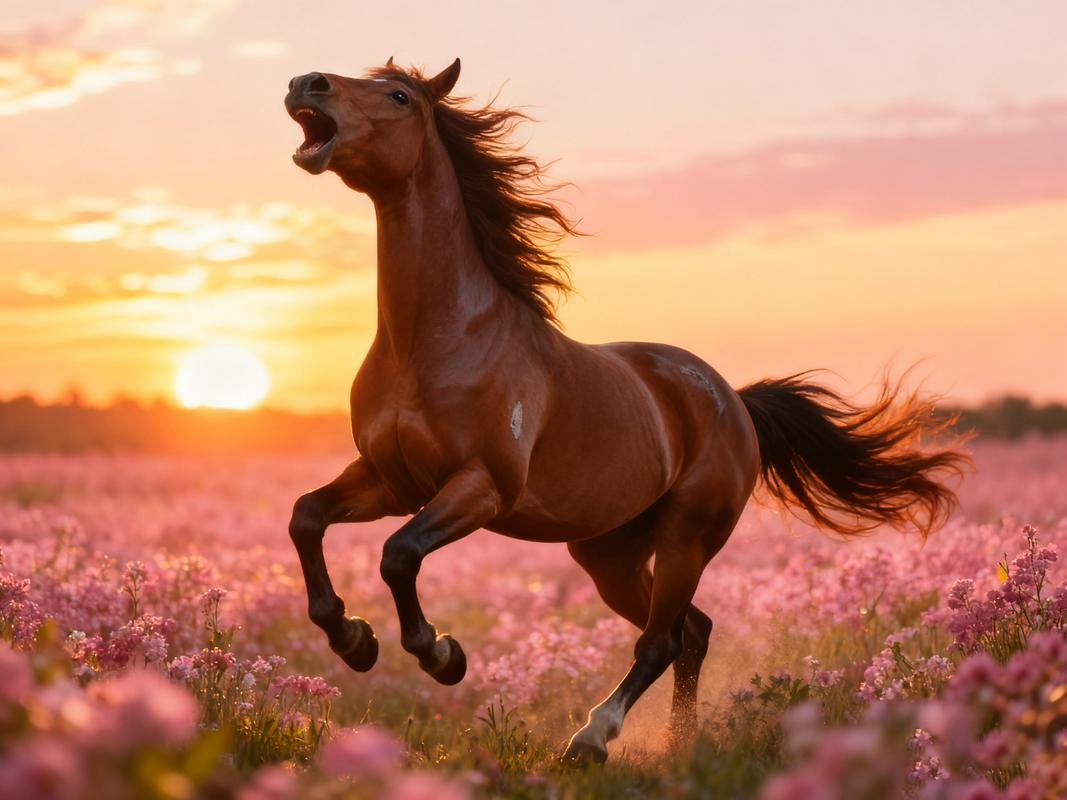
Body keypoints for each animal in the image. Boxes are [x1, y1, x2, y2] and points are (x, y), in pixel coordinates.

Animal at [282, 58, 967, 764]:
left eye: (398, 95)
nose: (307, 84)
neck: (435, 340)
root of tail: (732, 400)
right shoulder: (392, 480)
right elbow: (306, 517)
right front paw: (352, 639)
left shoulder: (482, 487)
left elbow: (399, 553)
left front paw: (441, 654)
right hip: (609, 555)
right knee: (693, 631)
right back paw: (678, 743)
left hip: (687, 536)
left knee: (663, 639)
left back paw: (591, 738)